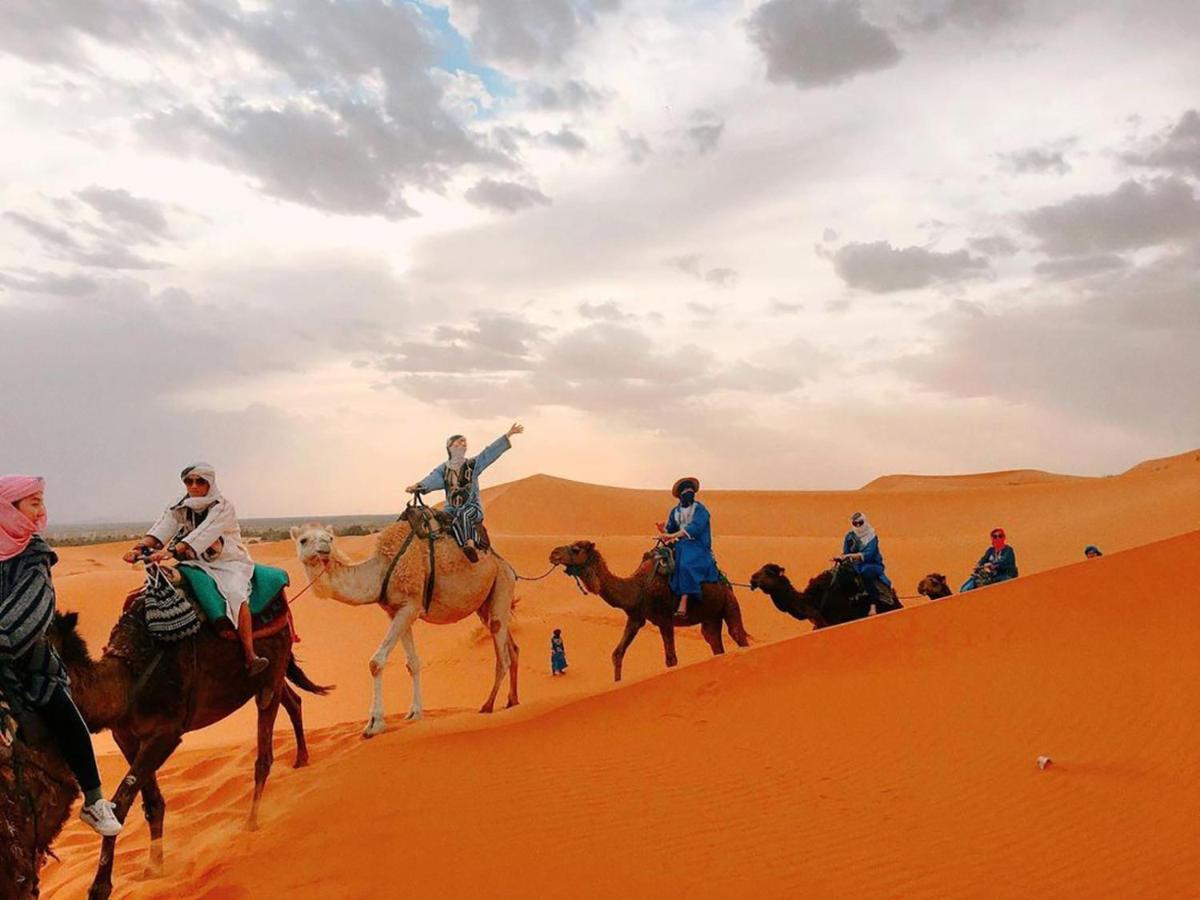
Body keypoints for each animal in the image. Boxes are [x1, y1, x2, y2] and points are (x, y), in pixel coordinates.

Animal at [28, 600, 331, 900]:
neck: (128, 680)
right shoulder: (125, 737)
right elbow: (152, 803)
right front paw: (154, 868)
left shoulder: (167, 733)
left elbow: (120, 802)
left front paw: (100, 888)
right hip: (270, 677)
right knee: (291, 700)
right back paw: (301, 758)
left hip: (272, 669)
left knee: (265, 748)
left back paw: (251, 822)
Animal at [291, 518, 520, 734]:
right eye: (303, 540)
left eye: (330, 538)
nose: (325, 547)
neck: (381, 570)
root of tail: (508, 567)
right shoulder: (396, 611)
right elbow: (413, 663)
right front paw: (414, 713)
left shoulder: (410, 605)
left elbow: (376, 662)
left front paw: (374, 724)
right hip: (486, 602)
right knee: (511, 646)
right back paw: (513, 701)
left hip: (502, 584)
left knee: (502, 653)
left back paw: (488, 706)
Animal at [547, 542, 748, 681]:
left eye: (576, 548)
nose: (553, 553)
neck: (638, 587)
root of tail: (726, 583)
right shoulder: (635, 618)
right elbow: (617, 654)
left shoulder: (665, 619)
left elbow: (671, 659)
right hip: (710, 618)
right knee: (714, 641)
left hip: (730, 603)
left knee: (737, 634)